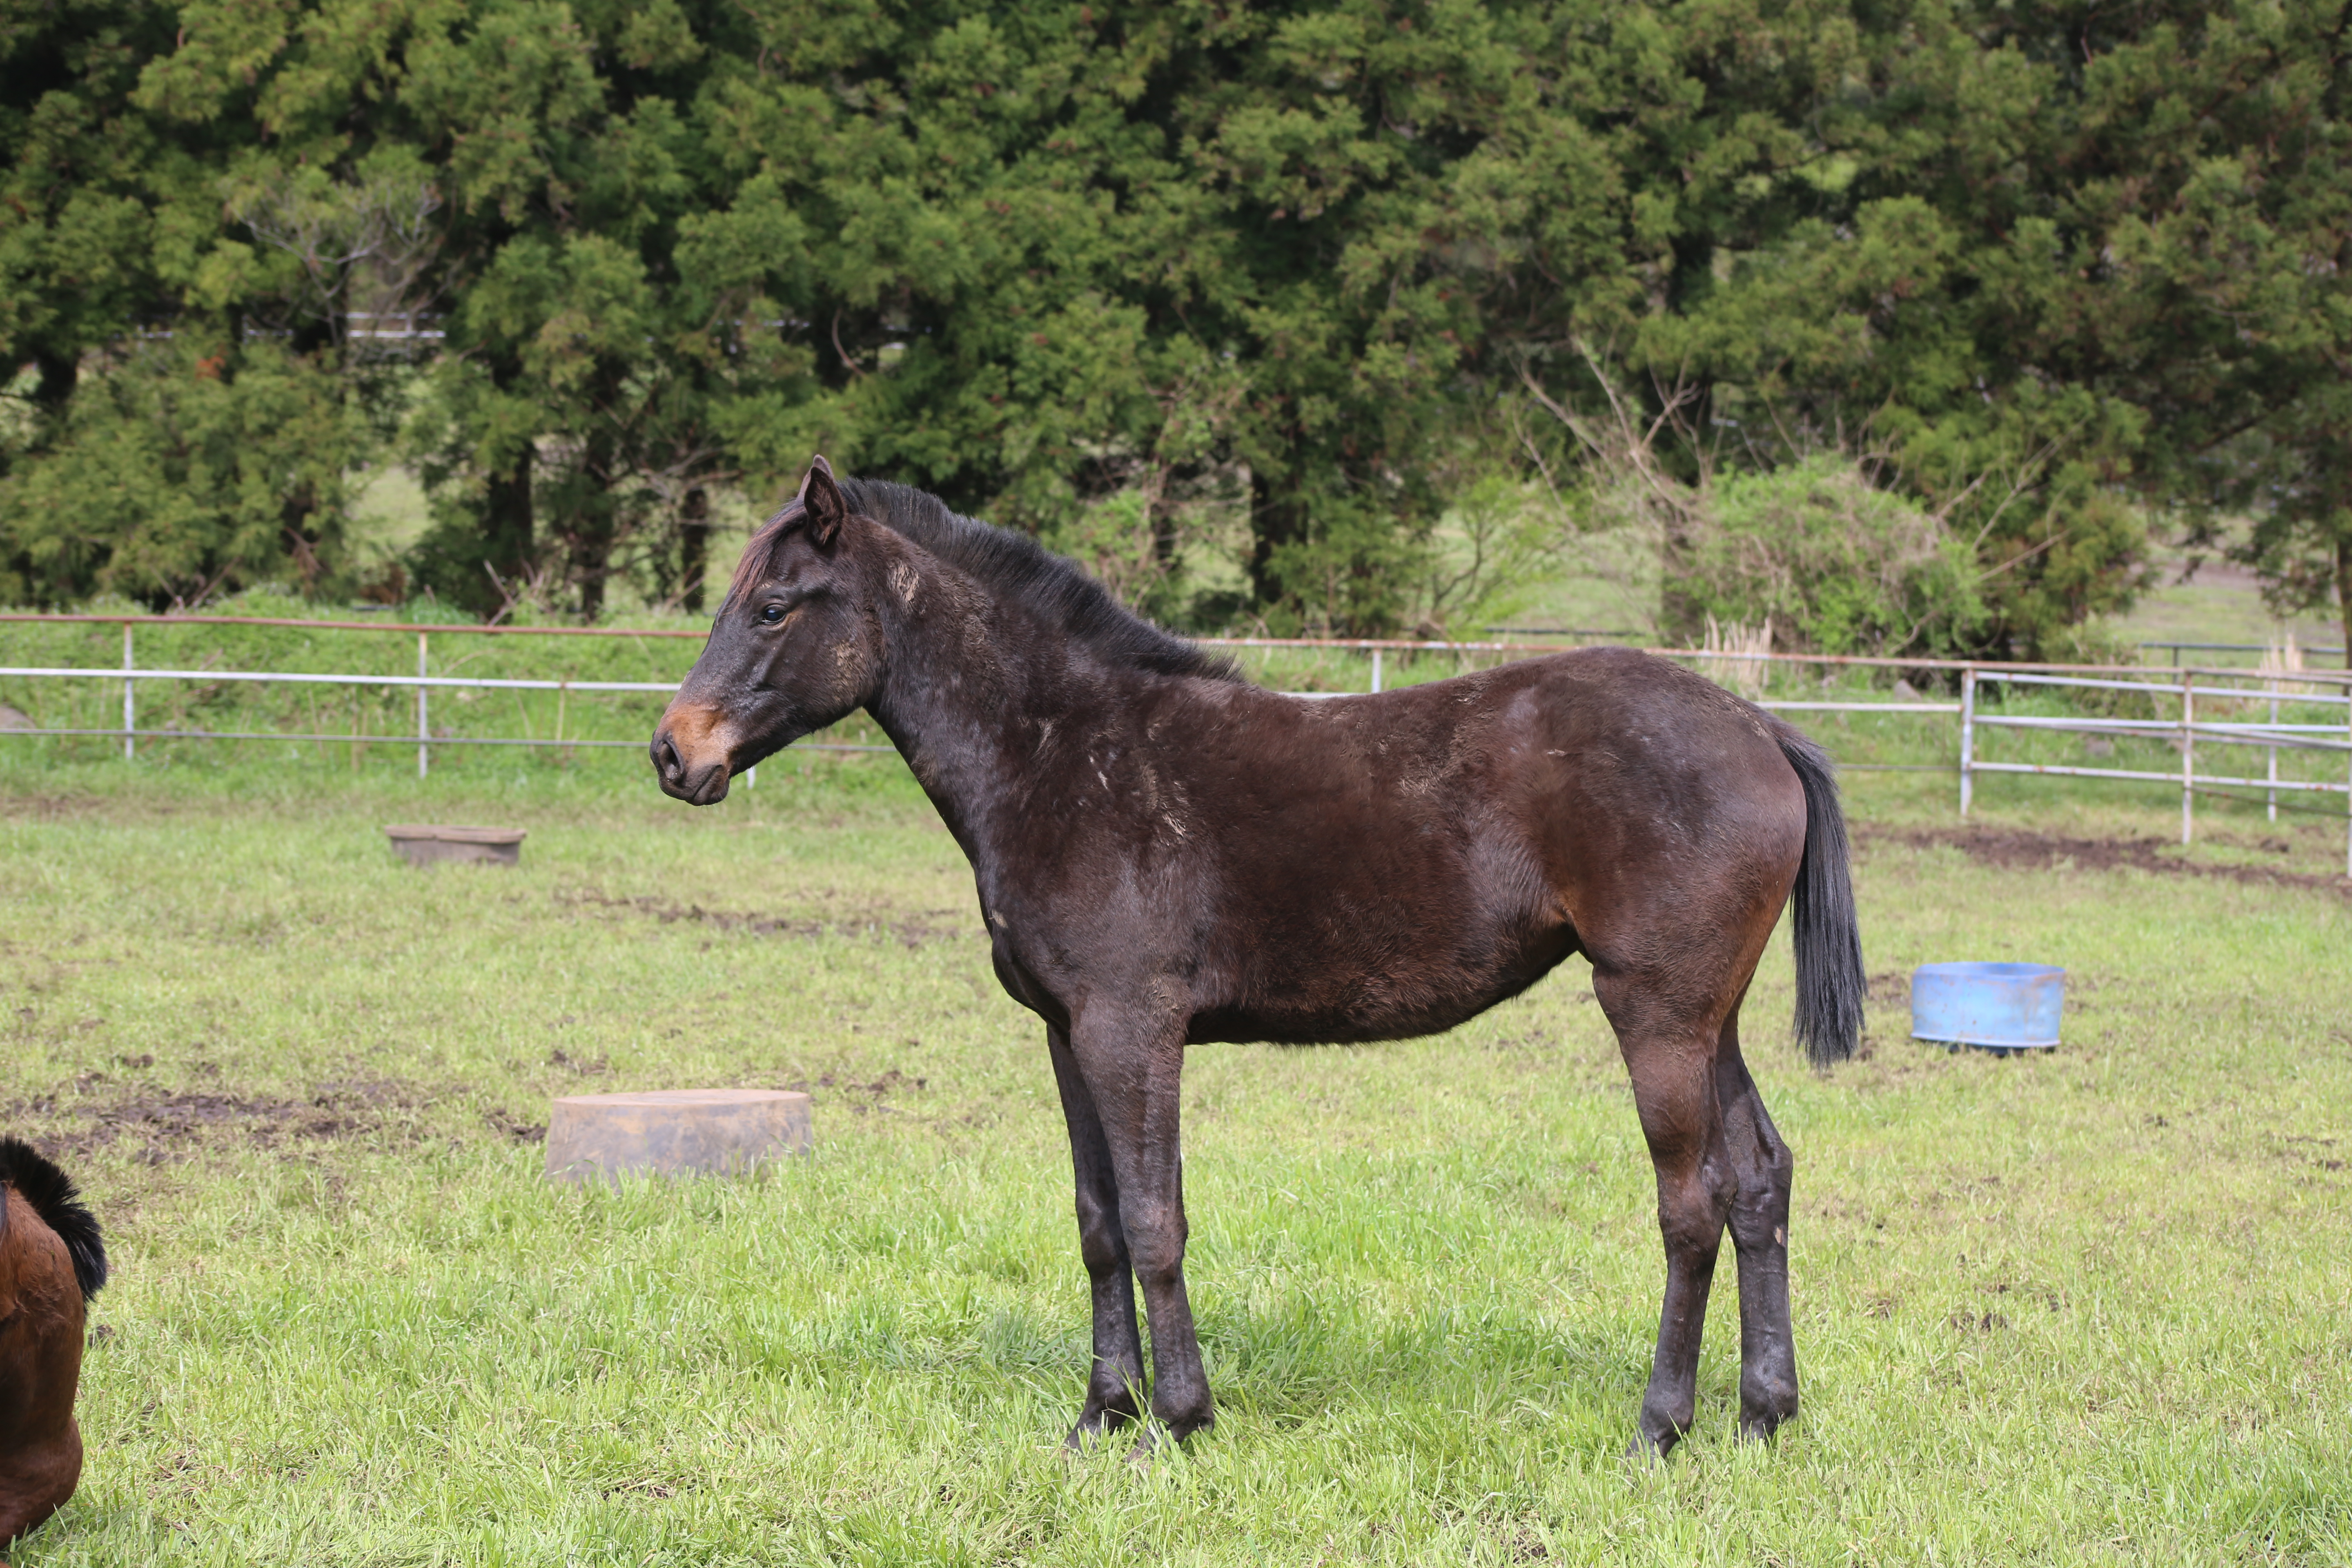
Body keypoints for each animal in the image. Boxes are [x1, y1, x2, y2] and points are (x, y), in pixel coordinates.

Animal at [654, 456, 1862, 1457]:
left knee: (1690, 1205)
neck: (1060, 755)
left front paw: (1176, 1423)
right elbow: (1098, 1223)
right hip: (1708, 1018)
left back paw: (1659, 1429)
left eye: (773, 607)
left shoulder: (1131, 1028)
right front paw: (1100, 1415)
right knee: (1758, 1178)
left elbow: (1154, 1220)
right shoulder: (1066, 1032)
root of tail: (1761, 730)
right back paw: (1762, 1416)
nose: (675, 753)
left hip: (1653, 1013)